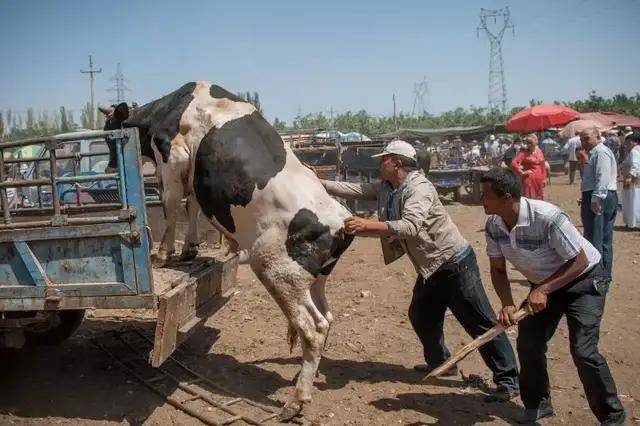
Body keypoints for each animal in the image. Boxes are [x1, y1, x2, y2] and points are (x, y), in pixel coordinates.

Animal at [100, 80, 352, 420]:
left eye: (108, 131)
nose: (109, 166)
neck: (170, 108)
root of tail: (340, 221)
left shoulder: (174, 158)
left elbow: (171, 206)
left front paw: (164, 254)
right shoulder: (193, 172)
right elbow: (191, 205)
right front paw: (189, 249)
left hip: (276, 270)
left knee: (312, 328)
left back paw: (295, 401)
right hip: (313, 280)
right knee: (326, 318)